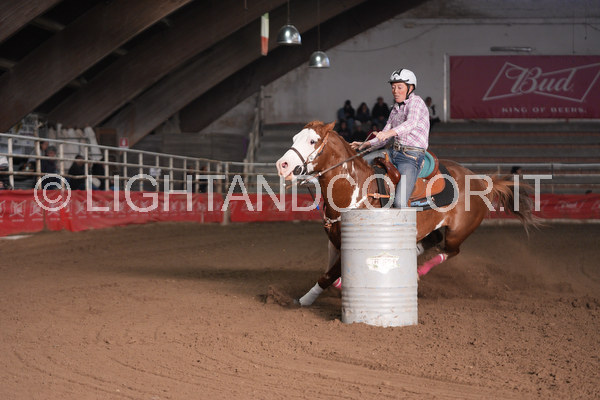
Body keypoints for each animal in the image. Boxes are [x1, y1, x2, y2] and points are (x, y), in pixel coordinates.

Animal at [276, 121, 539, 306]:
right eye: (295, 138)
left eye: (313, 141)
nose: (282, 165)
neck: (356, 188)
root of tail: (483, 181)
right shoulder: (334, 241)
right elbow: (330, 271)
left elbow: (328, 276)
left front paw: (303, 301)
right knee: (431, 241)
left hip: (459, 232)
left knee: (450, 250)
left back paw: (419, 271)